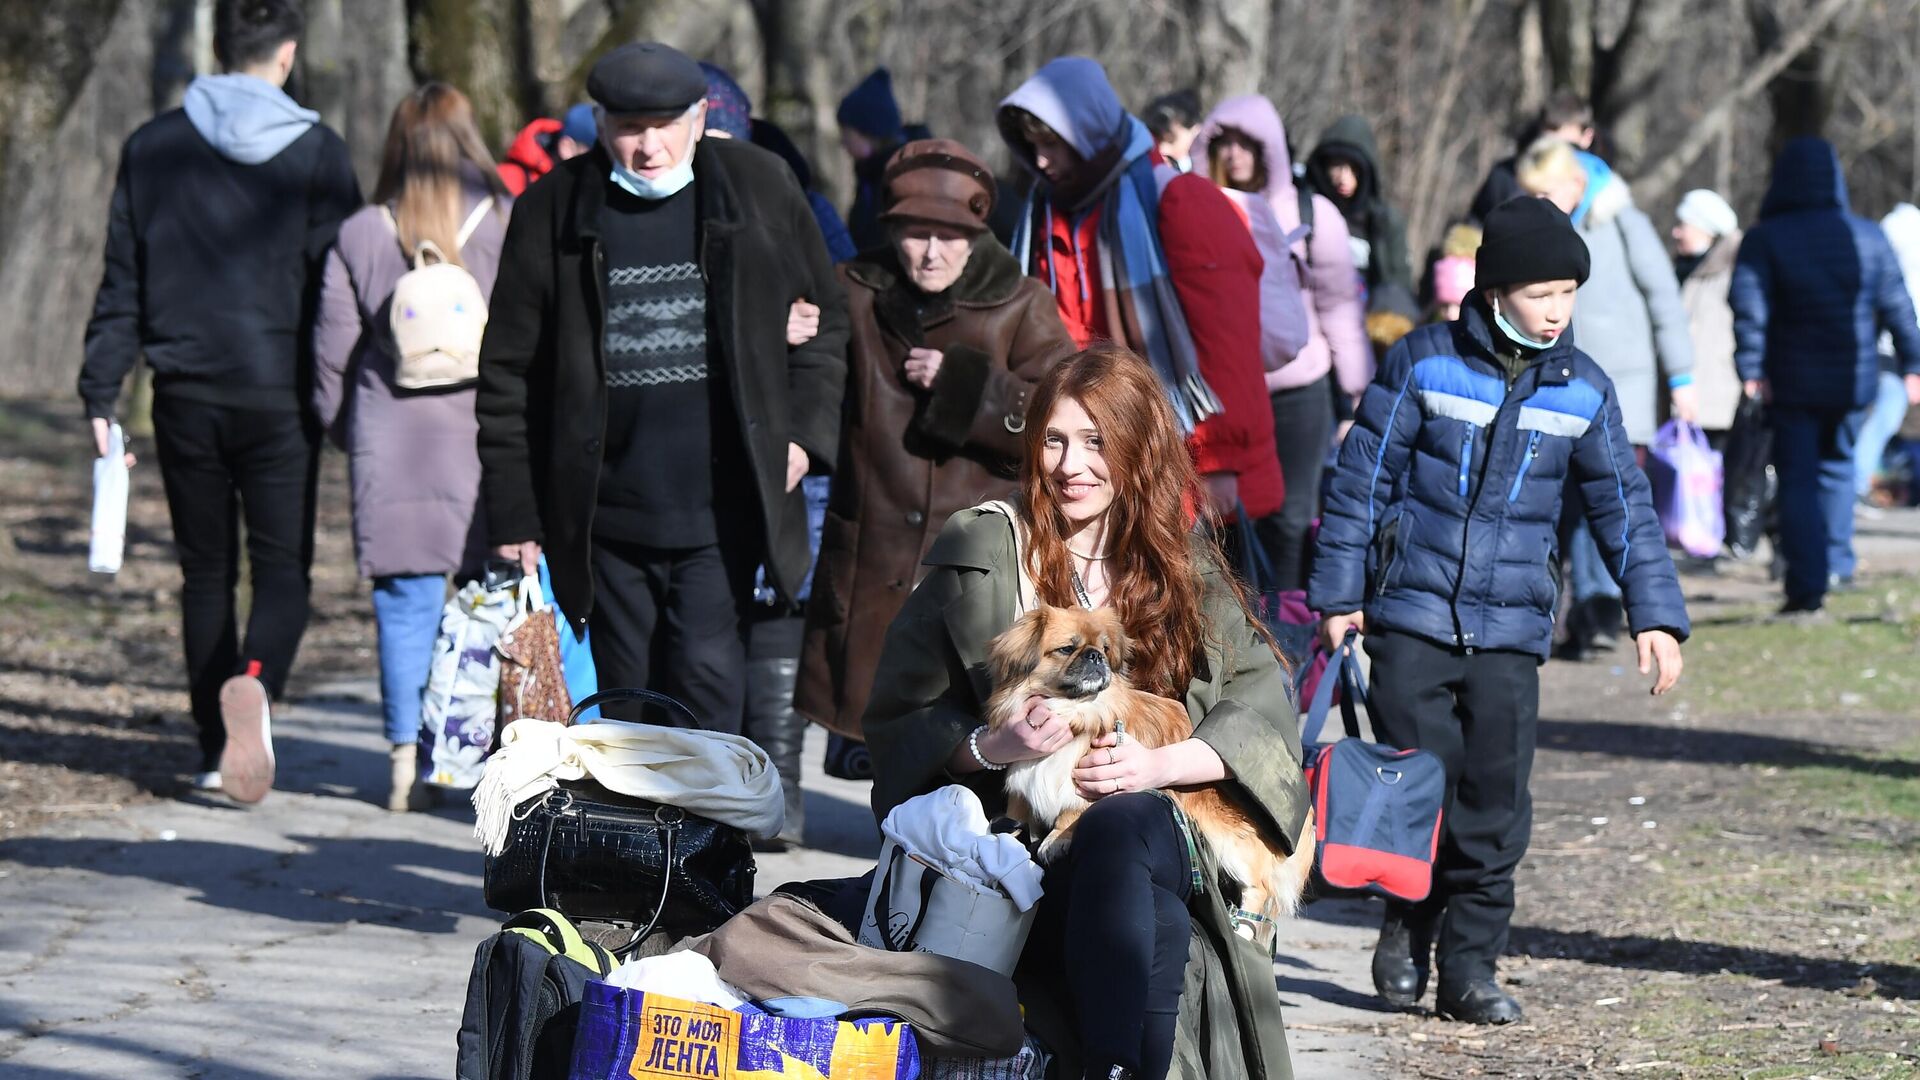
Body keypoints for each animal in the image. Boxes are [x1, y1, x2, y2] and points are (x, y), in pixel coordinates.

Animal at [990, 599, 1320, 937]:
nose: (1095, 656)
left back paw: (1241, 929)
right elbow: (1014, 815)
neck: (1073, 711)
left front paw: (1058, 838)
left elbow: (1073, 807)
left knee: (1260, 889)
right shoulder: (1022, 778)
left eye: (1104, 648)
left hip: (1231, 840)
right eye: (1067, 648)